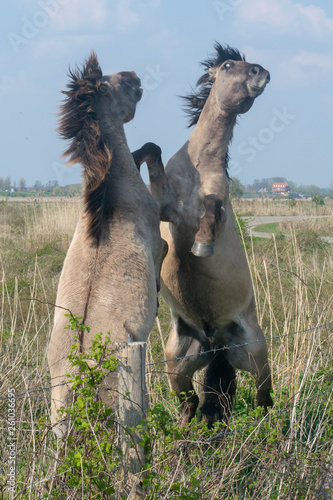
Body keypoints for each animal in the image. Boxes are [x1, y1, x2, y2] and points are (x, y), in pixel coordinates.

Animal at [46, 52, 166, 438]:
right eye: (115, 83)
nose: (135, 76)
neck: (113, 198)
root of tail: (79, 372)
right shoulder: (158, 241)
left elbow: (142, 150)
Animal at [145, 43, 272, 428]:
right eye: (228, 65)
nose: (262, 74)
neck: (198, 167)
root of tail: (217, 344)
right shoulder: (166, 206)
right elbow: (152, 150)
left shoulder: (216, 204)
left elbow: (212, 210)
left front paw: (202, 245)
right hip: (178, 363)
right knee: (188, 404)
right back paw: (183, 435)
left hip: (255, 354)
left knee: (264, 396)